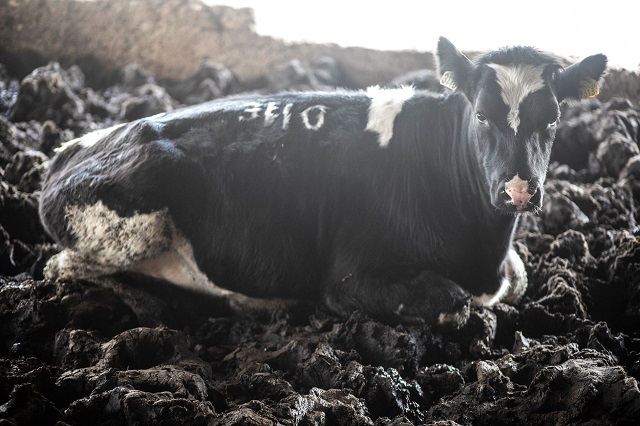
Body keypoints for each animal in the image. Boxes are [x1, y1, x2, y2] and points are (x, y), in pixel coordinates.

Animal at [37, 39, 608, 326]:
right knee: (60, 268)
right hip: (129, 219)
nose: (518, 191)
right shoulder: (349, 278)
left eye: (553, 120)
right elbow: (450, 301)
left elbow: (519, 278)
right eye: (483, 114)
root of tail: (75, 146)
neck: (482, 253)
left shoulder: (508, 268)